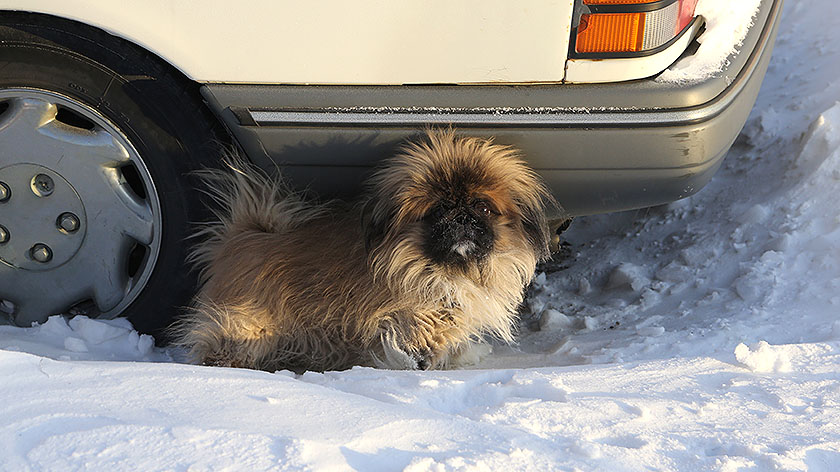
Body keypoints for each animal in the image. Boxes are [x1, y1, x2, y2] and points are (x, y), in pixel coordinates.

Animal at [172, 129, 556, 372]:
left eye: (483, 208)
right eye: (438, 211)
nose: (461, 216)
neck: (443, 267)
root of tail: (244, 235)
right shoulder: (417, 319)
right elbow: (420, 351)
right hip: (246, 326)